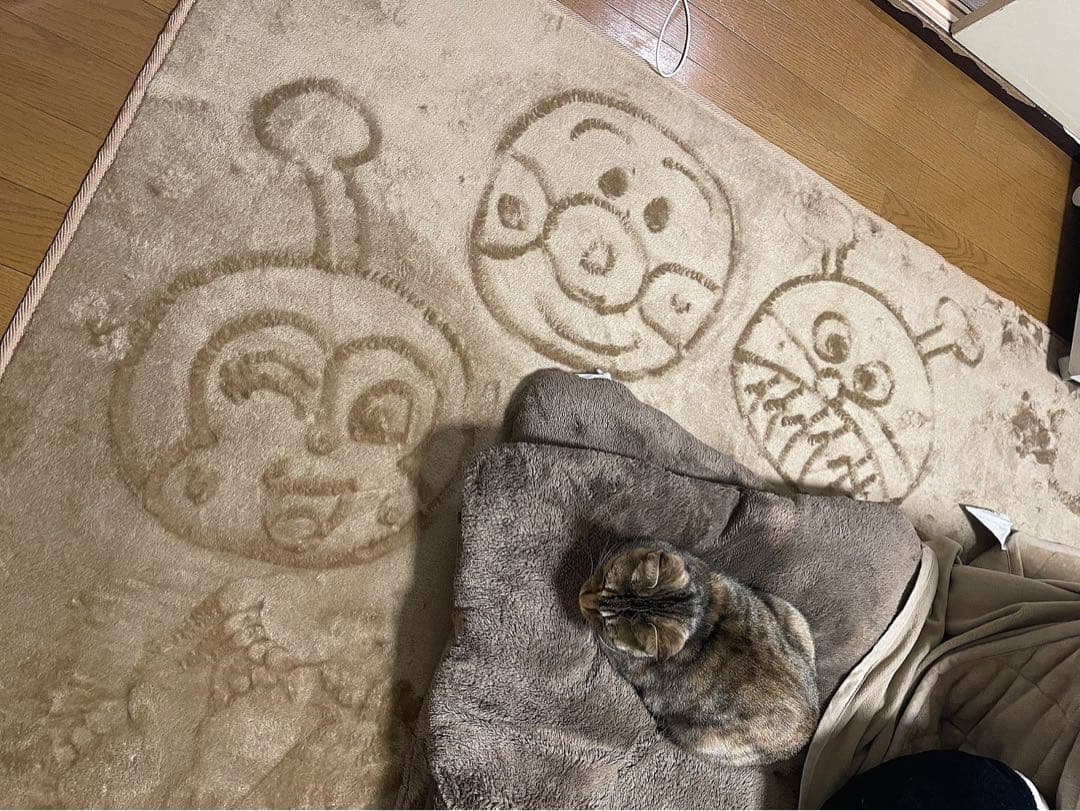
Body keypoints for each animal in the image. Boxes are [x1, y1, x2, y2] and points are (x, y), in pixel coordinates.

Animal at [578, 540, 819, 766]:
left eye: (605, 625)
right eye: (604, 578)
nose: (581, 599)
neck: (697, 614)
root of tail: (810, 723)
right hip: (792, 615)